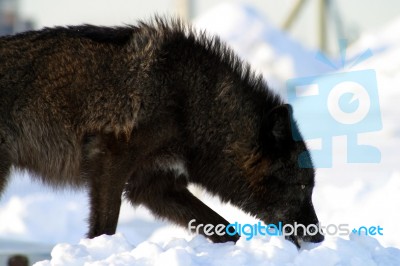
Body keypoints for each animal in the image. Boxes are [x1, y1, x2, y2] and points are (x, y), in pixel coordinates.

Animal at [0, 18, 324, 247]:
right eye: (302, 187)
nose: (319, 236)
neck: (191, 102)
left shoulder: (155, 185)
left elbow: (225, 229)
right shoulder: (111, 163)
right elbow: (104, 227)